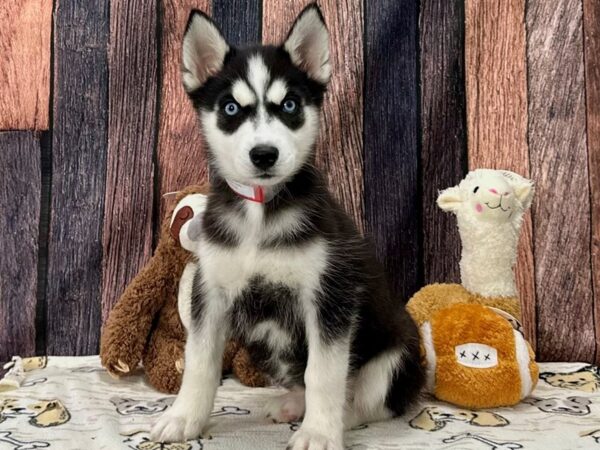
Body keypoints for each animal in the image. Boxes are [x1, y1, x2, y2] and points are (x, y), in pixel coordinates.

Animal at [152, 4, 424, 450]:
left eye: (291, 105)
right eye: (230, 108)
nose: (264, 154)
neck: (260, 213)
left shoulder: (329, 298)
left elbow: (323, 374)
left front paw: (319, 433)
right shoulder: (211, 293)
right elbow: (200, 362)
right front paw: (183, 418)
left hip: (397, 354)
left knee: (369, 401)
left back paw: (335, 418)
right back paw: (293, 404)